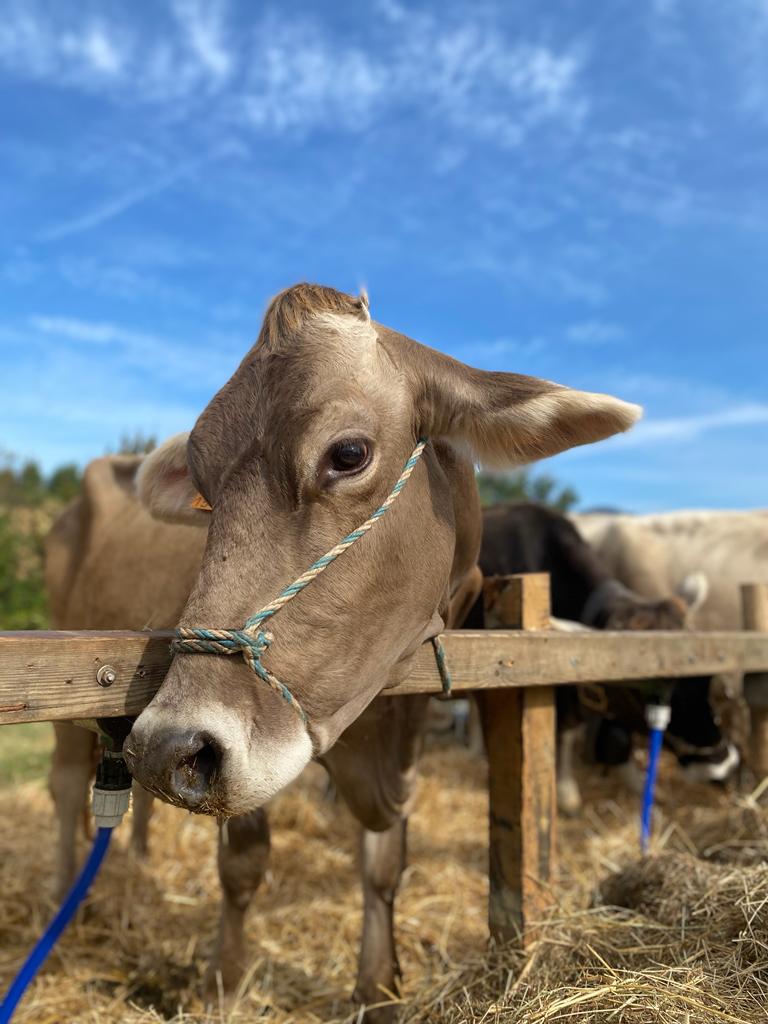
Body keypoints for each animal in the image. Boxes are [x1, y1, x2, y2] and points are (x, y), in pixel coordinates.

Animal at [46, 284, 638, 1019]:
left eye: (348, 453)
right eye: (206, 493)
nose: (168, 748)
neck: (383, 718)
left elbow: (384, 866)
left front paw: (377, 987)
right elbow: (243, 862)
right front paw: (224, 982)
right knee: (67, 787)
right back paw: (68, 900)